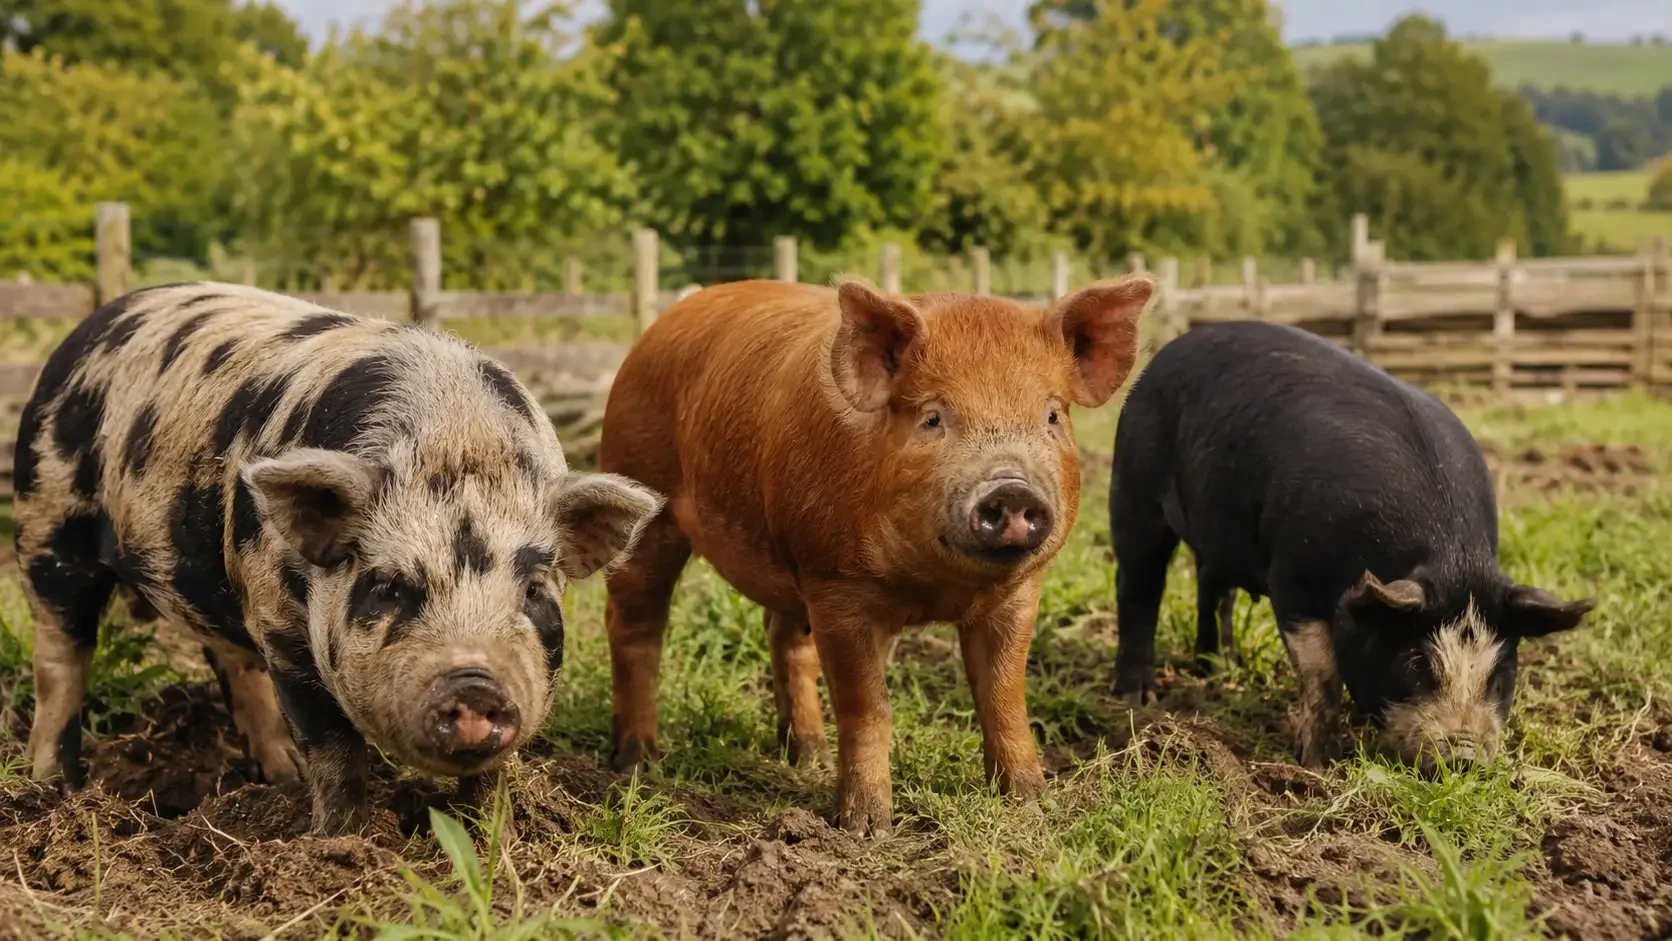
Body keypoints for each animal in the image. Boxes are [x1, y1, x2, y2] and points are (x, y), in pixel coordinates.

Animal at [16, 282, 661, 833]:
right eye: (390, 585)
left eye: (532, 591)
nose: (475, 685)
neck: (456, 440)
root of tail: (97, 320)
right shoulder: (281, 627)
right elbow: (333, 748)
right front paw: (340, 843)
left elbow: (491, 775)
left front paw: (487, 839)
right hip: (47, 522)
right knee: (59, 658)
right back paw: (51, 788)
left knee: (228, 659)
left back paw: (279, 776)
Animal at [599, 276, 1152, 835]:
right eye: (932, 417)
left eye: (1052, 415)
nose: (1012, 489)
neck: (935, 589)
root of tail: (660, 328)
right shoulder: (837, 584)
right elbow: (868, 705)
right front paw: (867, 828)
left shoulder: (1018, 593)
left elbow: (1002, 696)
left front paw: (1034, 805)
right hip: (642, 499)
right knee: (635, 627)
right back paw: (637, 762)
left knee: (784, 638)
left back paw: (809, 758)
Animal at [1108, 320, 1594, 769]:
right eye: (1416, 665)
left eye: (1502, 675)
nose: (1464, 758)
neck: (1450, 557)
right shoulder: (1292, 577)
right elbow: (1321, 673)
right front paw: (1319, 763)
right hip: (1133, 485)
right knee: (1138, 585)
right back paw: (1137, 698)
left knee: (1213, 583)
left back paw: (1221, 667)